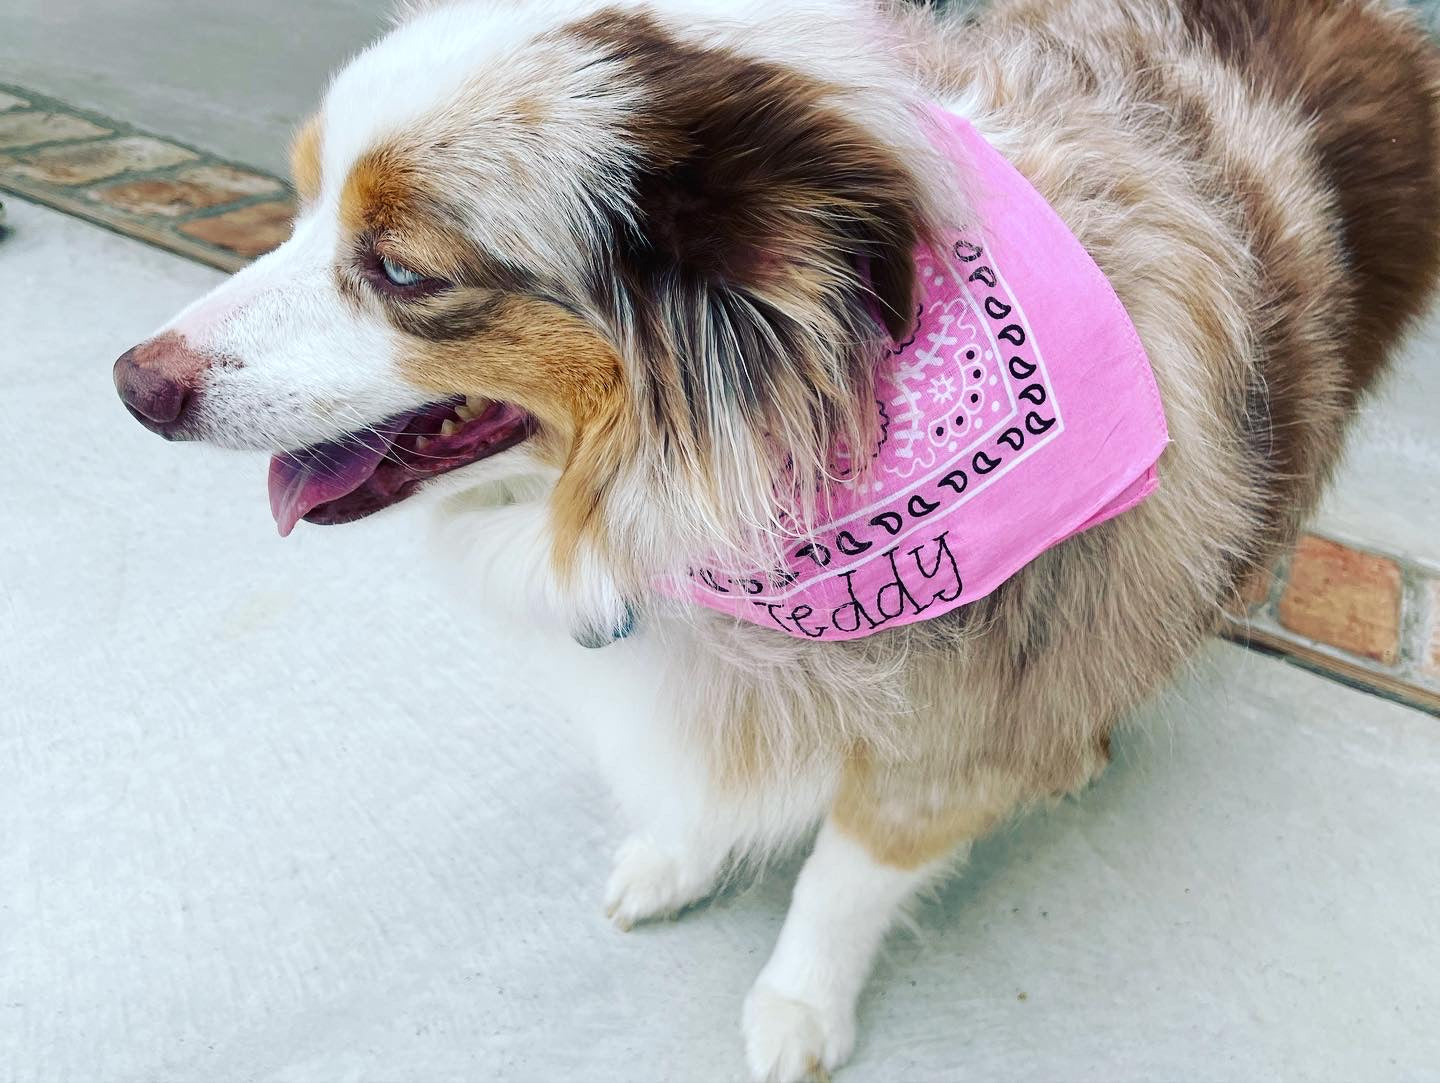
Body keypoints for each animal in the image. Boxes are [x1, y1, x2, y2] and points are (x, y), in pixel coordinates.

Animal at [115, 4, 1440, 1077]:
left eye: (399, 269)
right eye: (299, 207)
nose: (133, 385)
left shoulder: (952, 729)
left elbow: (843, 877)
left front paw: (798, 1008)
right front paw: (681, 855)